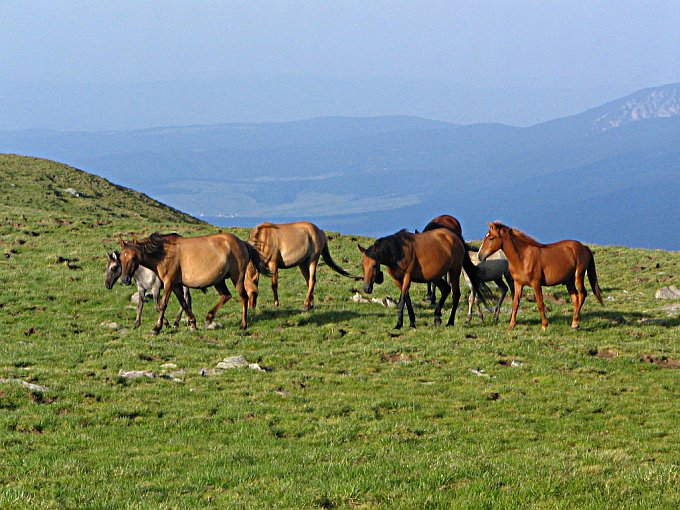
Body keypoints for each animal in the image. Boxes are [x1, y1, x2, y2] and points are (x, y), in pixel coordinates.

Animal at [117, 232, 268, 334]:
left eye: (134, 257)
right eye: (121, 257)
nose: (125, 280)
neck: (163, 253)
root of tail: (242, 242)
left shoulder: (169, 283)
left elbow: (162, 305)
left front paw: (157, 328)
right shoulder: (176, 285)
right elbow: (184, 303)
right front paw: (193, 324)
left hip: (237, 277)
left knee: (243, 297)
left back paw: (243, 325)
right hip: (219, 280)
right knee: (226, 295)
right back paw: (209, 318)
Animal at [356, 228, 488, 330]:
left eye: (374, 265)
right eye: (362, 265)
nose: (367, 288)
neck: (398, 251)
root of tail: (455, 238)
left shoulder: (407, 277)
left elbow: (401, 301)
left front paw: (399, 324)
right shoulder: (398, 280)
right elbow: (407, 300)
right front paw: (412, 322)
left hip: (454, 271)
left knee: (455, 294)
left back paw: (450, 322)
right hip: (435, 276)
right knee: (446, 289)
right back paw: (437, 318)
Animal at [476, 223, 604, 330]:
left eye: (491, 238)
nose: (479, 256)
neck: (523, 258)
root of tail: (584, 247)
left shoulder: (536, 283)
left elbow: (540, 303)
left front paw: (544, 325)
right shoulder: (518, 283)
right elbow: (515, 303)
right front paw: (511, 325)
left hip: (579, 276)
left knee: (582, 295)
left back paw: (576, 323)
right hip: (569, 281)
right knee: (575, 298)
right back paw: (573, 323)